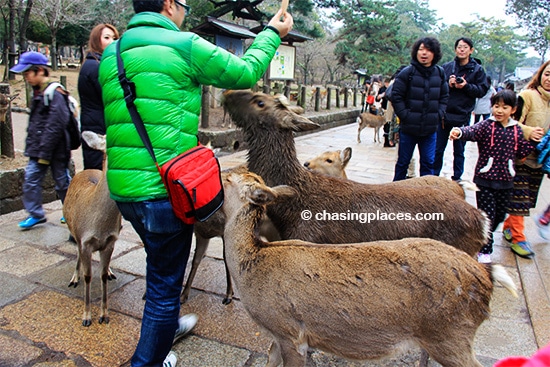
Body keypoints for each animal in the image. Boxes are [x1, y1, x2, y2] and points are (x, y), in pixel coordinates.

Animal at [64, 132, 122, 328]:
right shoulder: (84, 241)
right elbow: (88, 276)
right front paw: (86, 317)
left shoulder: (111, 240)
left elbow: (102, 275)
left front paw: (104, 315)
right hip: (73, 230)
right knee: (76, 253)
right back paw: (74, 278)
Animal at [222, 172, 520, 367]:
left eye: (228, 179)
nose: (221, 168)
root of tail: (486, 276)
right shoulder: (276, 335)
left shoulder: (289, 330)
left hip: (453, 334)